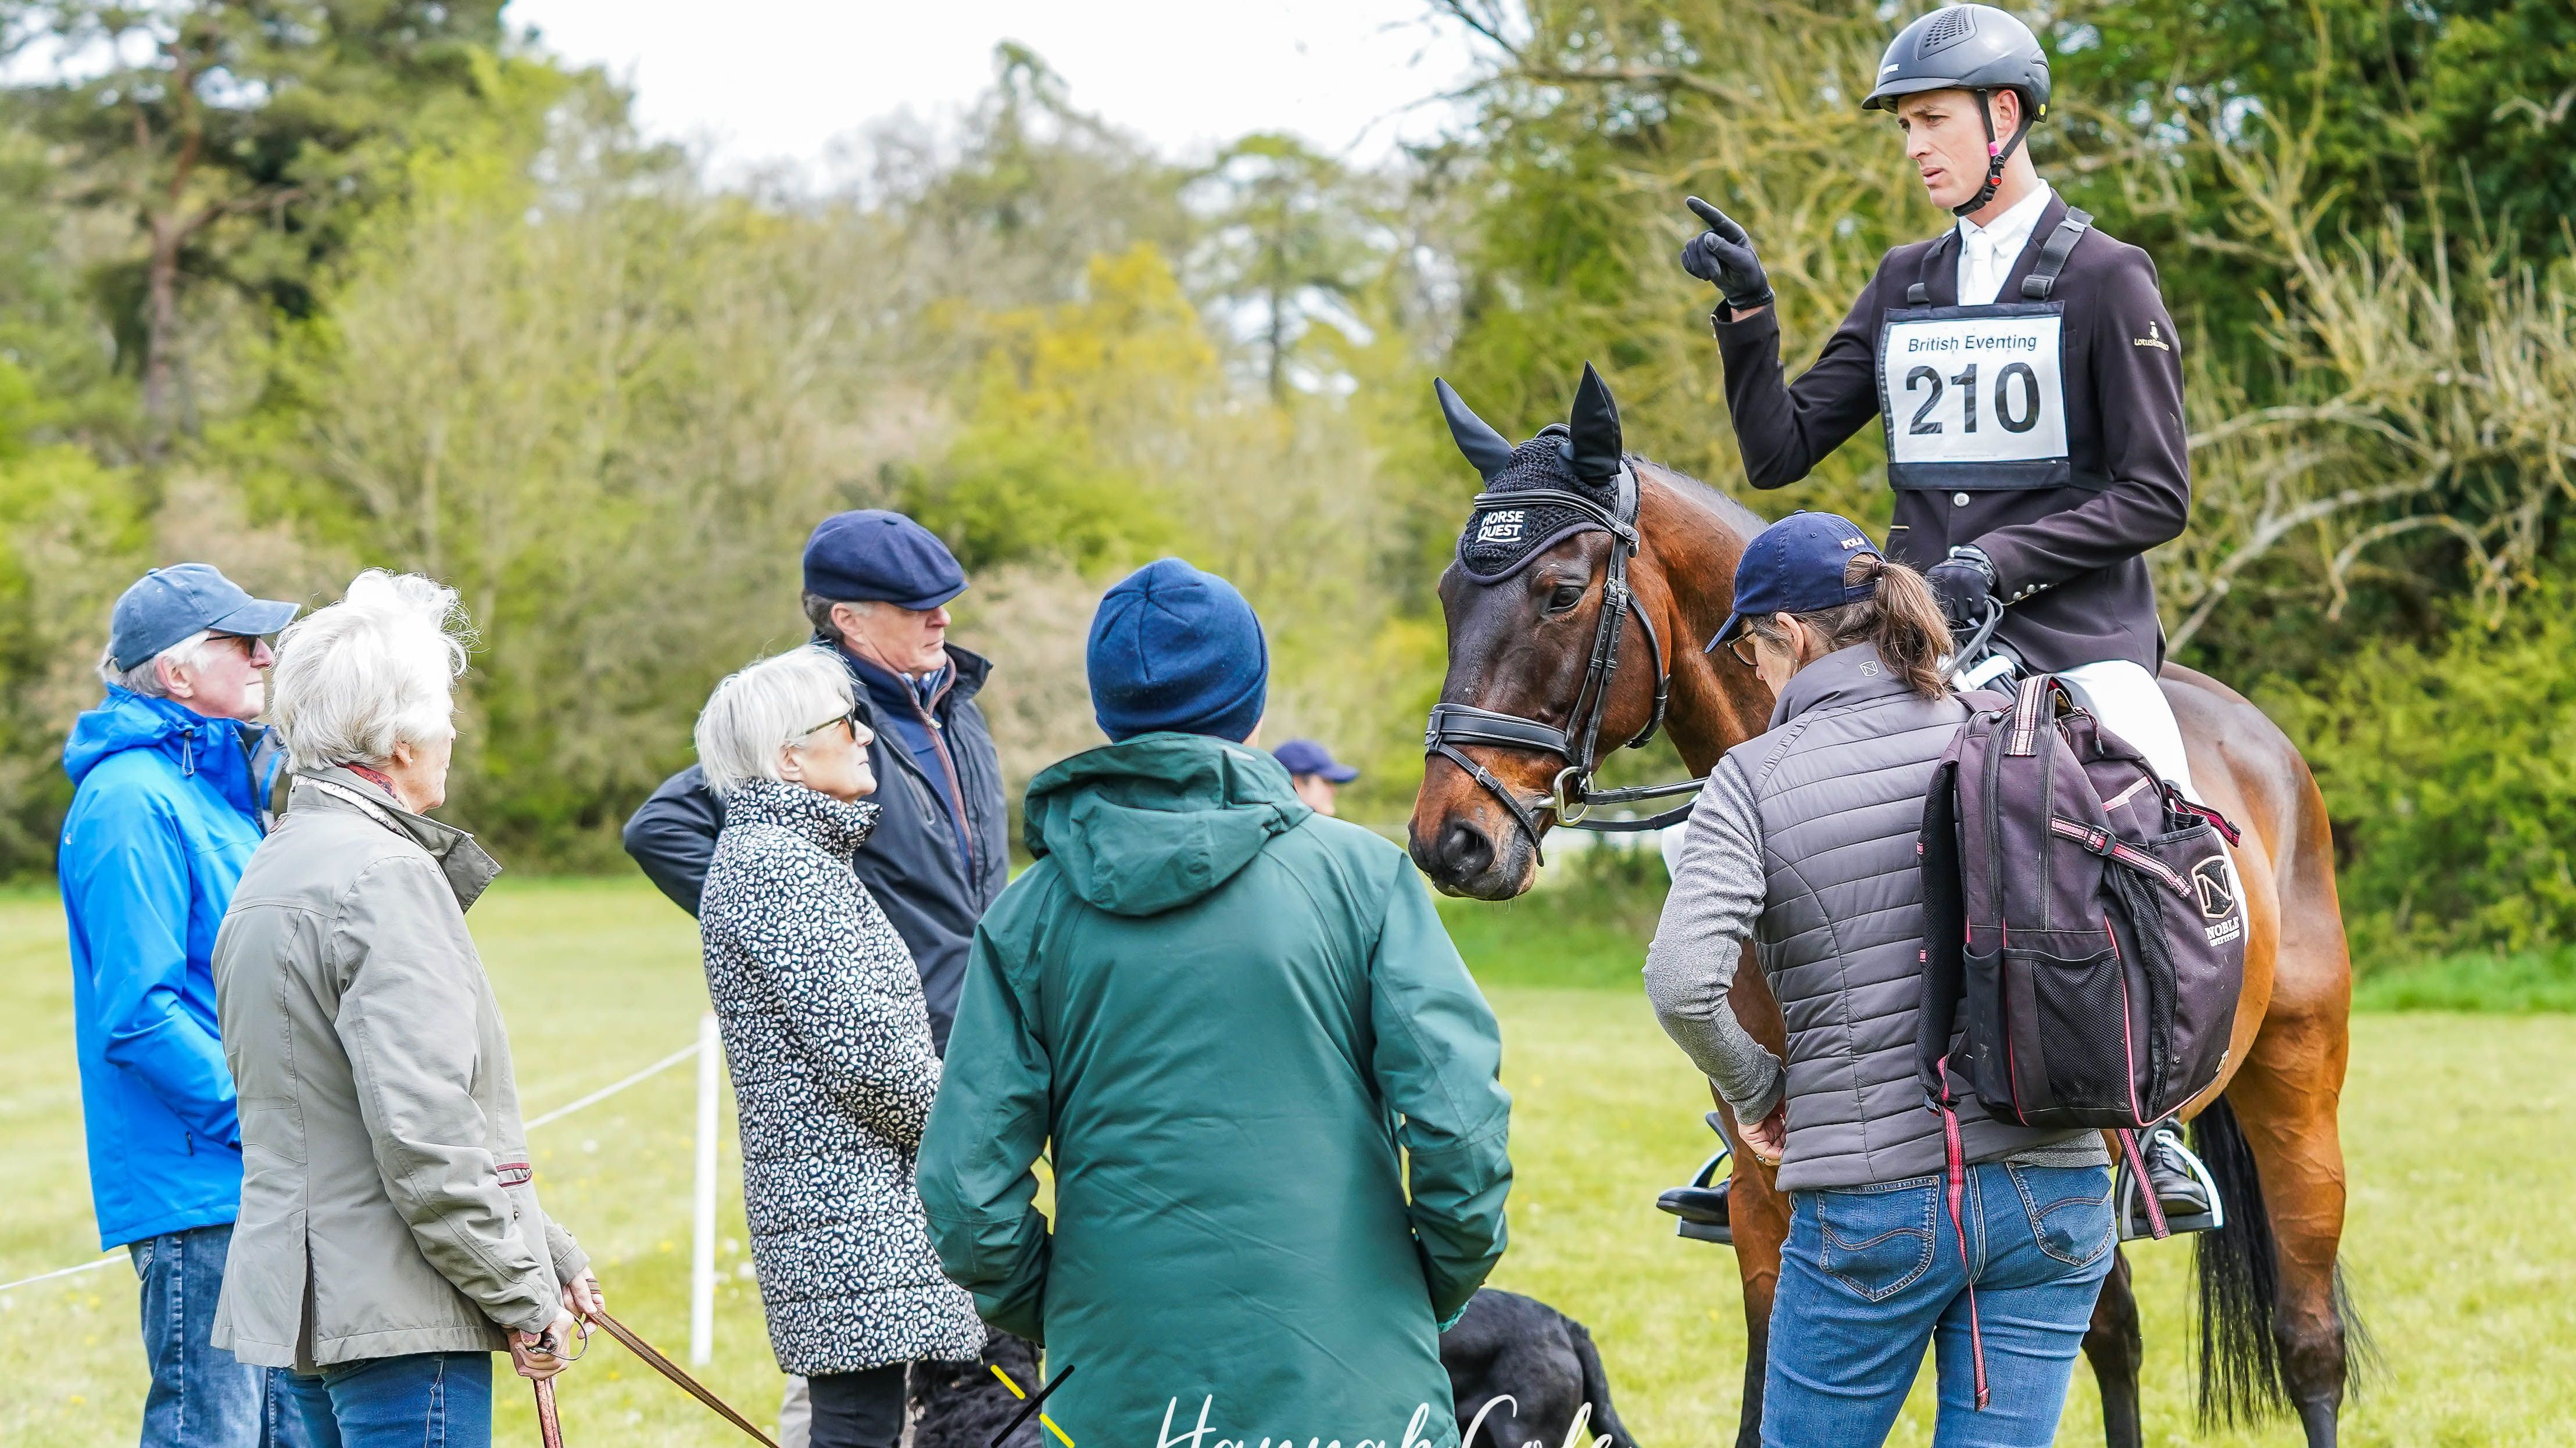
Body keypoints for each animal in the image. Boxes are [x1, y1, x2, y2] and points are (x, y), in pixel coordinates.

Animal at [1422, 365, 2359, 1432]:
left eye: (1561, 593)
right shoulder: (1765, 1194)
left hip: (2295, 1093)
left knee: (2308, 1342)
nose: (1450, 840)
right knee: (2113, 1334)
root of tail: (2258, 736)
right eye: (1449, 596)